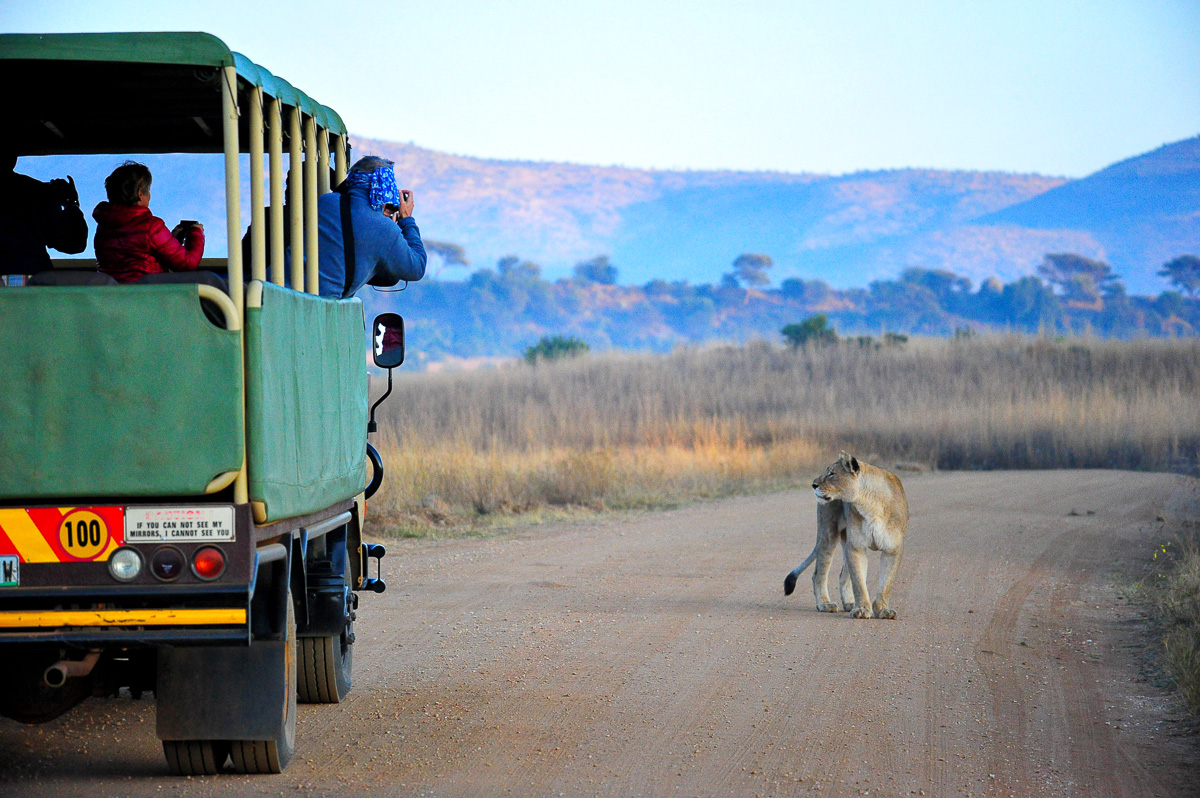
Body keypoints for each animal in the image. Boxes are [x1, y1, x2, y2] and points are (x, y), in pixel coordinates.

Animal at [783, 452, 908, 619]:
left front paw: (883, 610)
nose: (813, 485)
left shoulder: (892, 549)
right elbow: (859, 582)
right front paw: (862, 609)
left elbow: (886, 583)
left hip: (844, 539)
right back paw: (825, 604)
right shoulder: (856, 546)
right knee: (818, 574)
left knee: (842, 574)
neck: (870, 503)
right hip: (829, 534)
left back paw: (849, 603)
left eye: (832, 473)